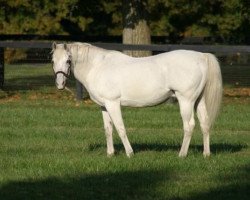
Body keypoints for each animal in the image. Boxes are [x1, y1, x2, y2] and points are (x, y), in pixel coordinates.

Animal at [51, 42, 223, 158]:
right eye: (53, 60)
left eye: (68, 60)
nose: (59, 84)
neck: (98, 66)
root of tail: (201, 56)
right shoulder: (104, 106)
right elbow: (108, 129)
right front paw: (110, 154)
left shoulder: (113, 103)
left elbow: (120, 128)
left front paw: (130, 153)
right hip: (198, 100)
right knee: (205, 123)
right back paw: (206, 154)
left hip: (185, 100)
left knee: (189, 126)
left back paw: (182, 154)